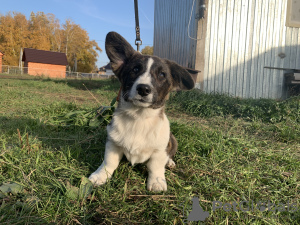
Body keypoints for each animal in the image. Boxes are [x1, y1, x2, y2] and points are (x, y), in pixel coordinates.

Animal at [88, 32, 196, 192]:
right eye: (135, 70)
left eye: (162, 75)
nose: (143, 89)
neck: (139, 116)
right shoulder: (113, 143)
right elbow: (109, 161)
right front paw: (100, 175)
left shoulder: (159, 150)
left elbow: (155, 166)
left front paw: (157, 182)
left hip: (172, 140)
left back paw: (170, 162)